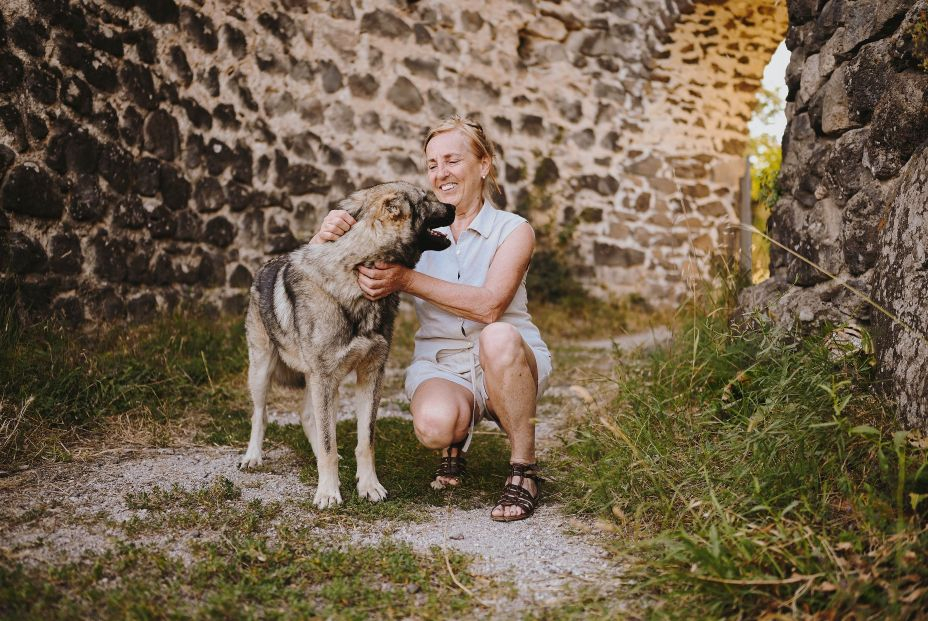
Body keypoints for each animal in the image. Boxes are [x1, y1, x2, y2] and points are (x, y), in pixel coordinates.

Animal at [239, 182, 456, 506]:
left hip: (326, 382)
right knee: (260, 415)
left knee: (308, 417)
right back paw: (252, 456)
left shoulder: (370, 374)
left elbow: (364, 441)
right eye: (426, 199)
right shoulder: (325, 377)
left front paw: (369, 486)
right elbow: (328, 442)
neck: (356, 271)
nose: (454, 207)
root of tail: (265, 265)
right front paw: (328, 492)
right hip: (264, 371)